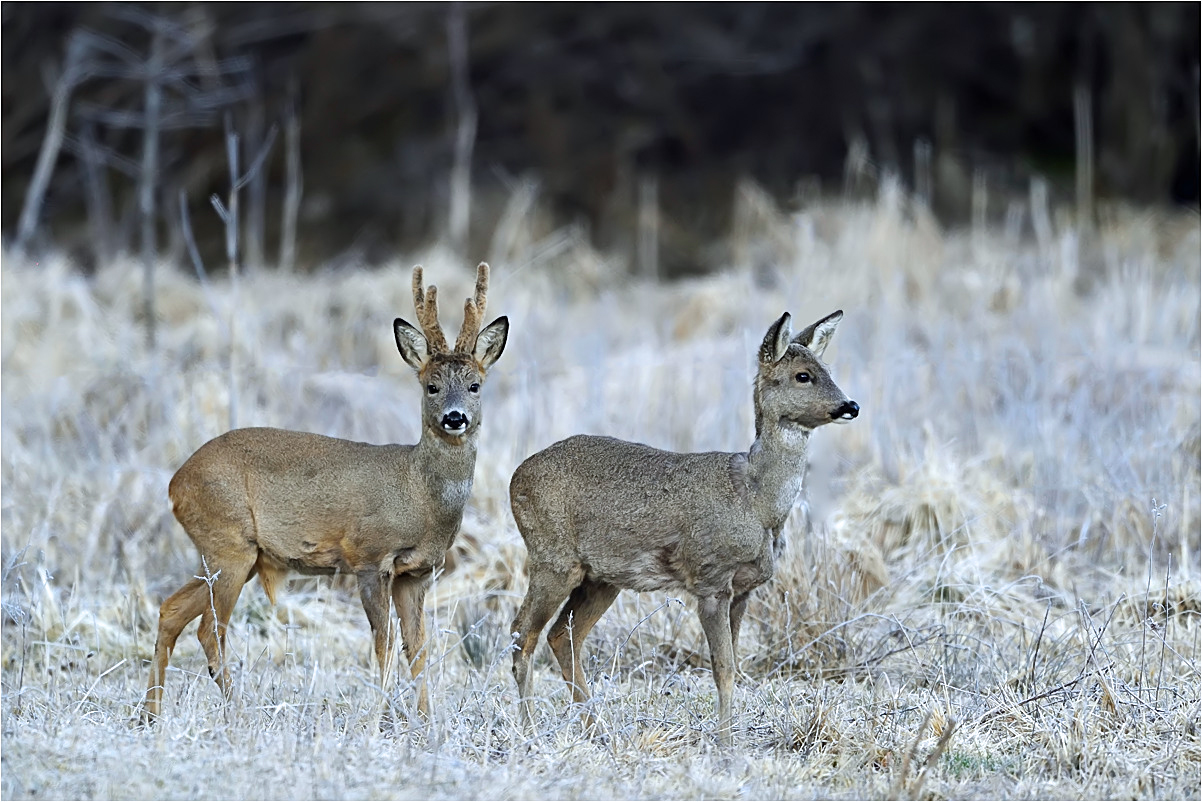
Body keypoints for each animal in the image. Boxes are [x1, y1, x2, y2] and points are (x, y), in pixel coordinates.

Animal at [139, 262, 507, 721]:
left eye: (475, 385)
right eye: (431, 386)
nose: (454, 418)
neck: (418, 494)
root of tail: (176, 484)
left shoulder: (417, 572)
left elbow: (418, 648)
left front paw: (426, 720)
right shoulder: (369, 557)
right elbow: (384, 644)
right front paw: (378, 717)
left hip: (229, 553)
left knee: (171, 611)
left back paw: (150, 714)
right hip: (228, 544)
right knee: (210, 630)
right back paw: (236, 714)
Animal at [507, 310, 855, 745]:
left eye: (828, 370)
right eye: (803, 375)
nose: (850, 405)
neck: (756, 501)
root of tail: (515, 478)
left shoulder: (742, 590)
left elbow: (734, 665)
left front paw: (730, 736)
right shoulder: (710, 579)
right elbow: (723, 669)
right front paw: (725, 743)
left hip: (601, 578)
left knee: (563, 636)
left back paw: (598, 727)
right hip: (552, 559)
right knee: (522, 635)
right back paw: (530, 731)